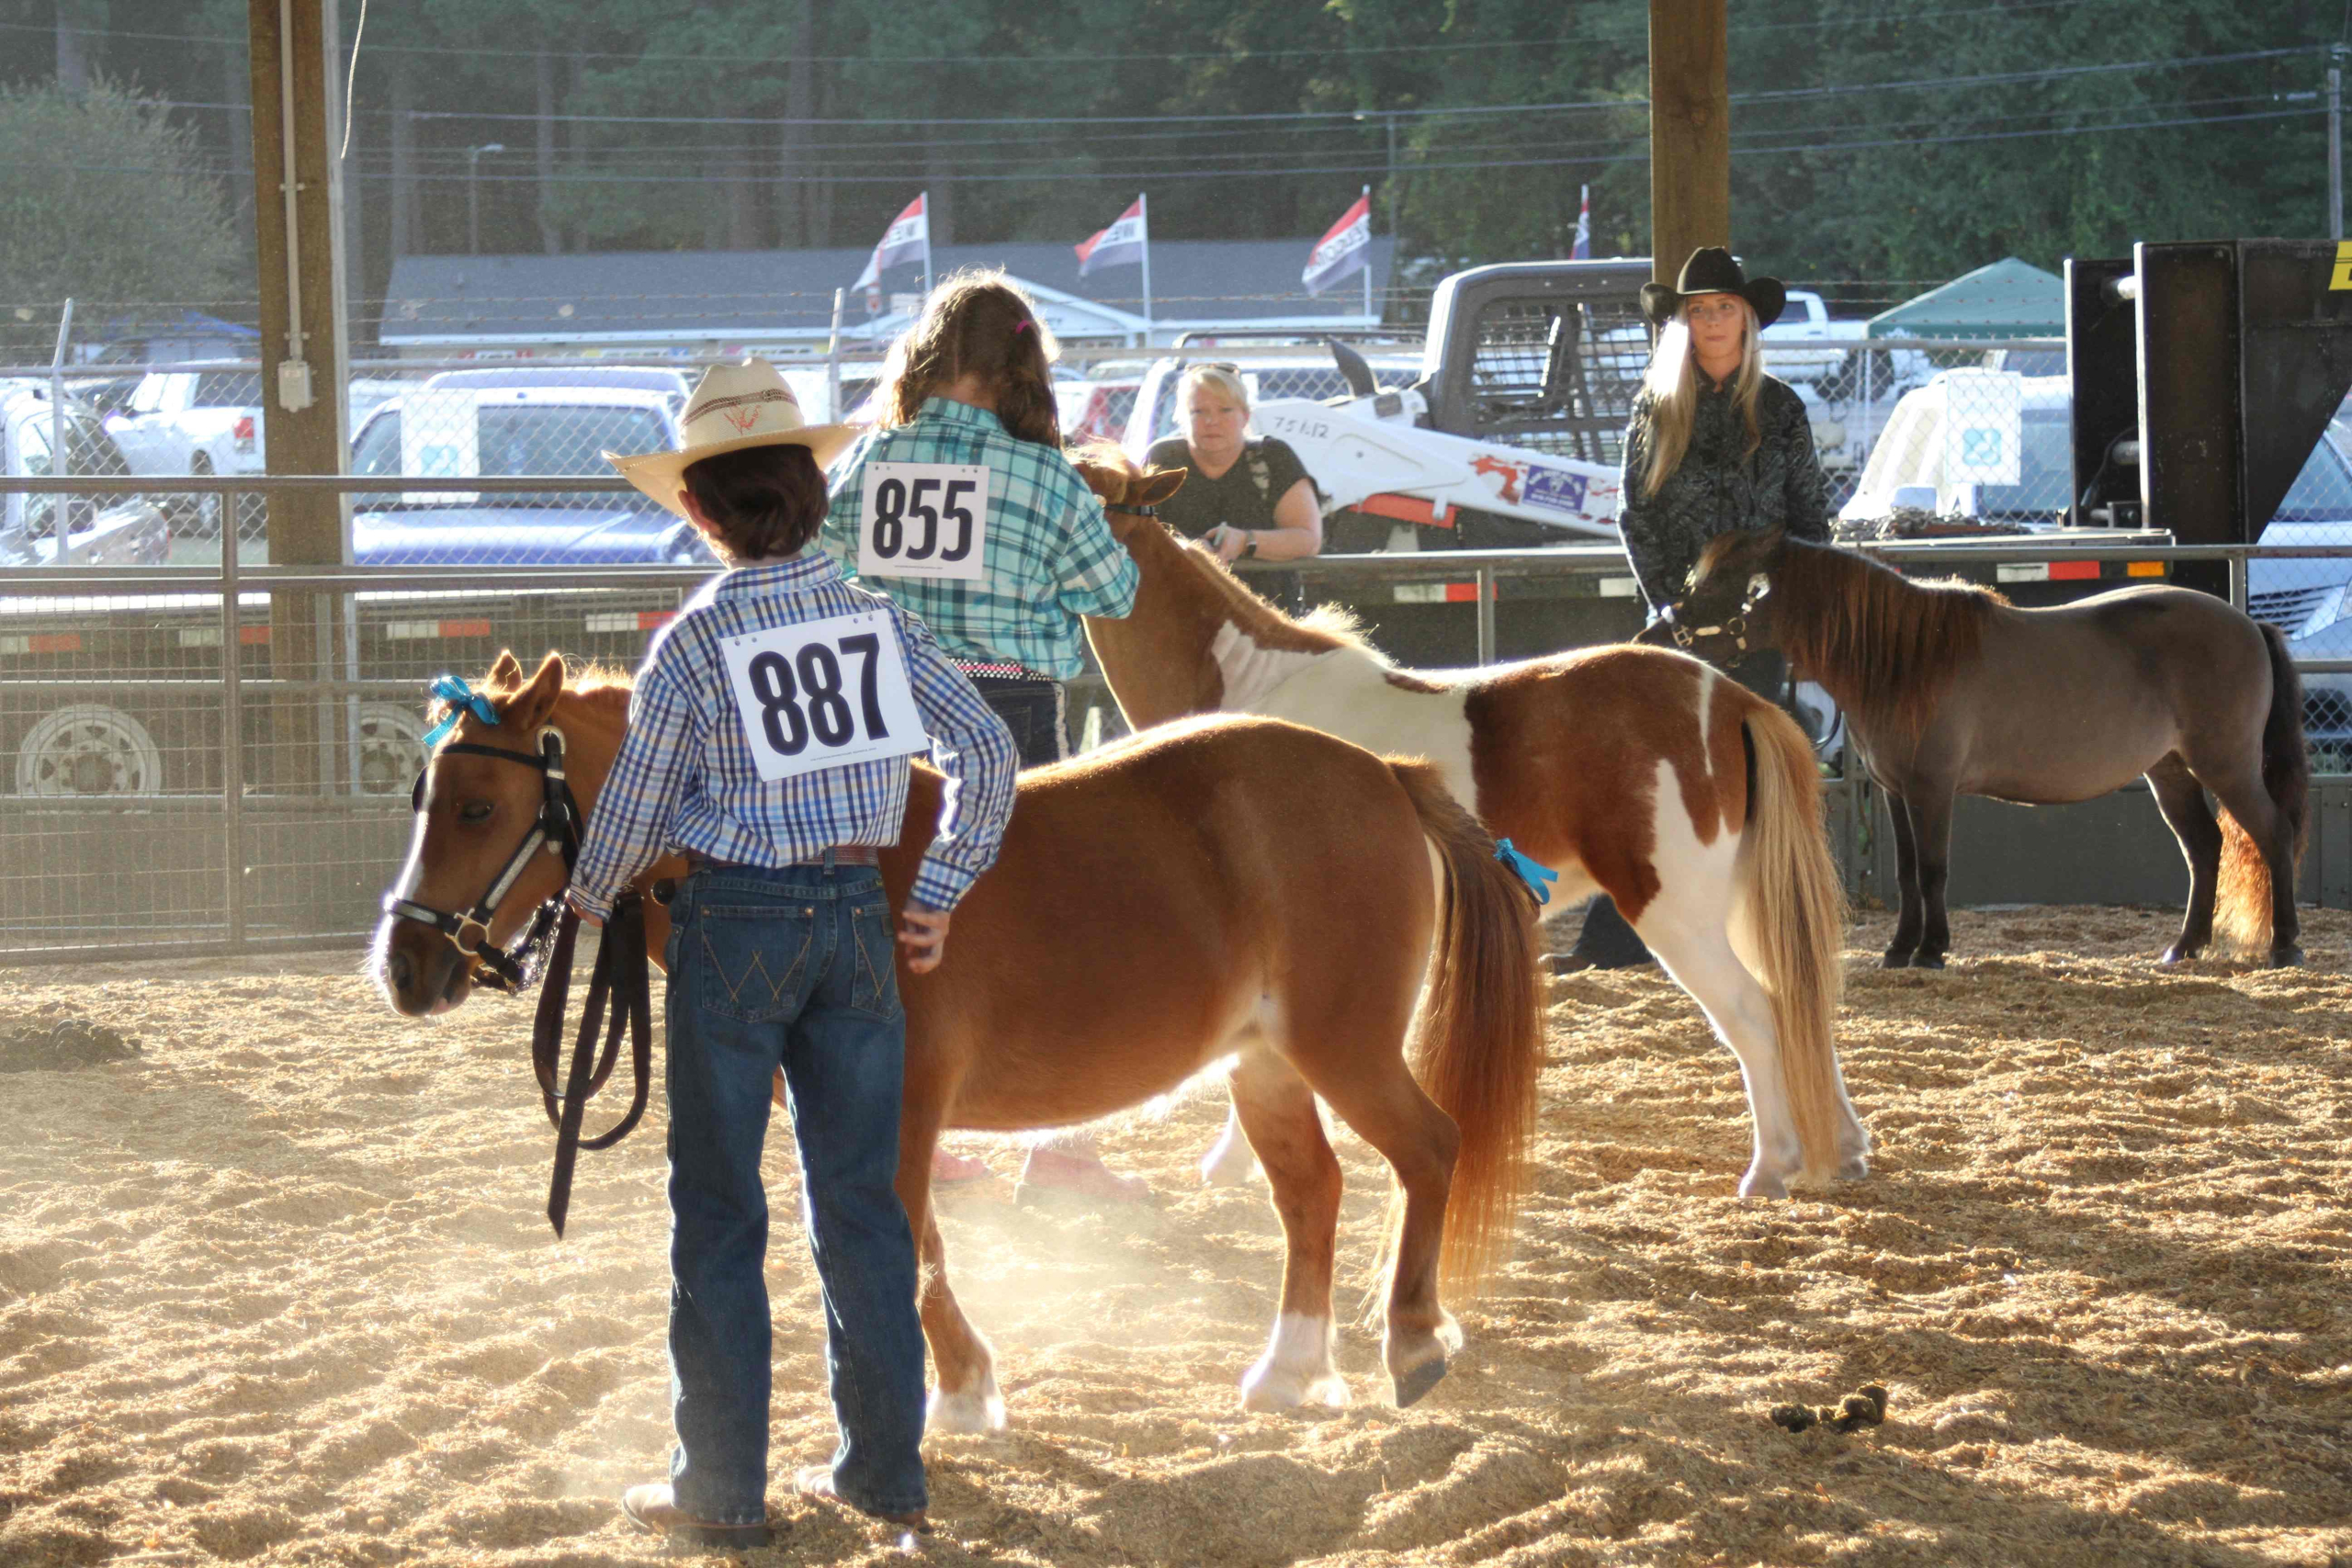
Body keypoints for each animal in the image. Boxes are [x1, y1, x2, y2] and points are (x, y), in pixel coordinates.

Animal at [1077, 453, 1862, 1203]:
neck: (1253, 695)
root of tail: (1729, 697)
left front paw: (1231, 1162)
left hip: (1676, 913)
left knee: (1754, 1013)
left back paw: (1770, 1167)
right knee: (1798, 1003)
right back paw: (1846, 1147)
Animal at [1665, 531, 2304, 968]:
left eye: (1719, 585)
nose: (1660, 631)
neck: (1905, 658)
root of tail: (2249, 625)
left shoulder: (1931, 788)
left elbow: (1933, 868)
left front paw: (1931, 950)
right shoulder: (1895, 792)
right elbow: (1905, 871)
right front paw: (1899, 951)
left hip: (2226, 764)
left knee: (2271, 834)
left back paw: (2284, 947)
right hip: (2169, 771)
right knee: (2203, 847)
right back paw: (2184, 947)